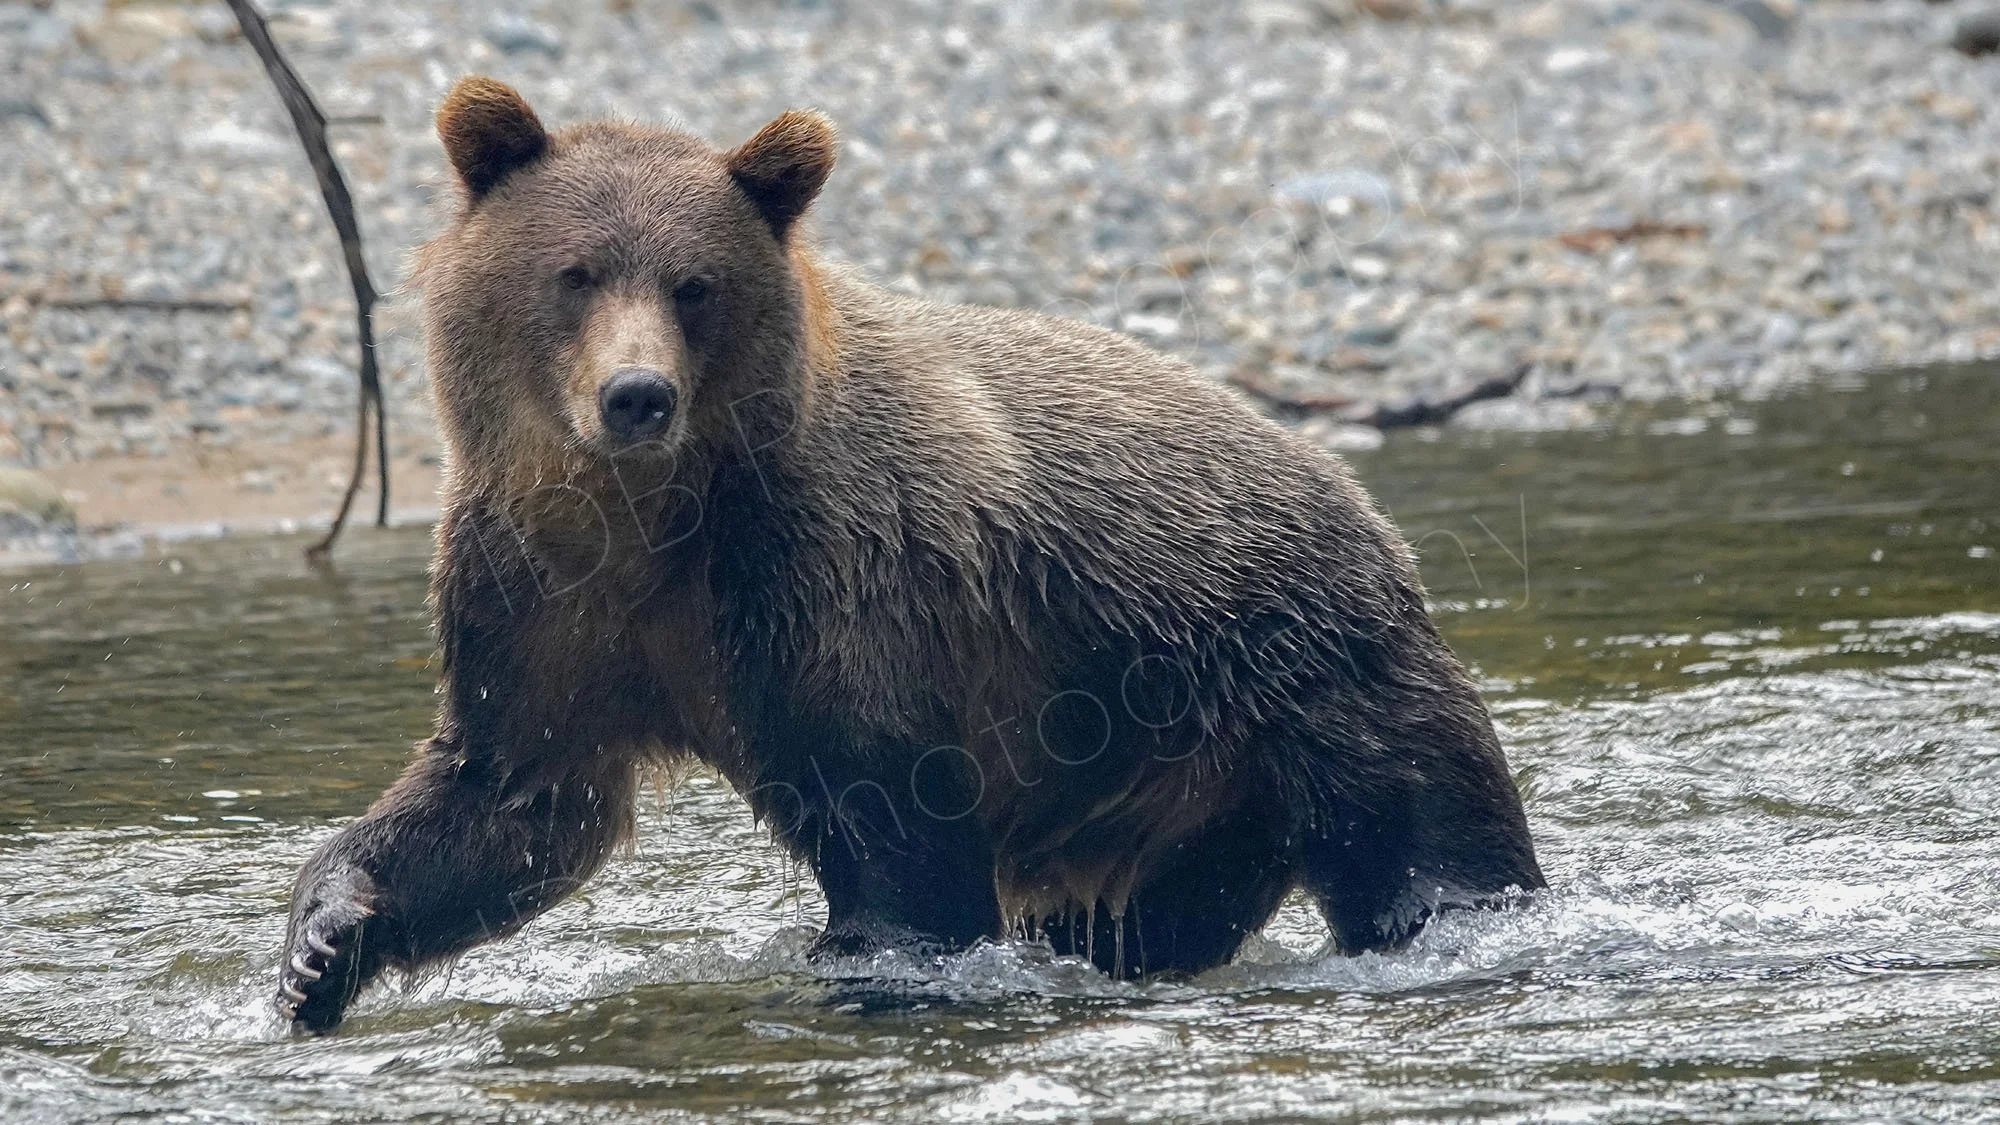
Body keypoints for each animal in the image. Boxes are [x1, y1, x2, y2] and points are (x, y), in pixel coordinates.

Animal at [275, 76, 1543, 1033]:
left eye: (693, 285)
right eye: (576, 272)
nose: (635, 395)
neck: (647, 520)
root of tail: (1358, 500)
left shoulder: (833, 576)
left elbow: (894, 818)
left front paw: (868, 960)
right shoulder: (537, 590)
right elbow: (513, 795)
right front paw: (321, 944)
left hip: (1300, 678)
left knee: (1425, 846)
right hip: (1177, 801)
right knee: (1146, 913)